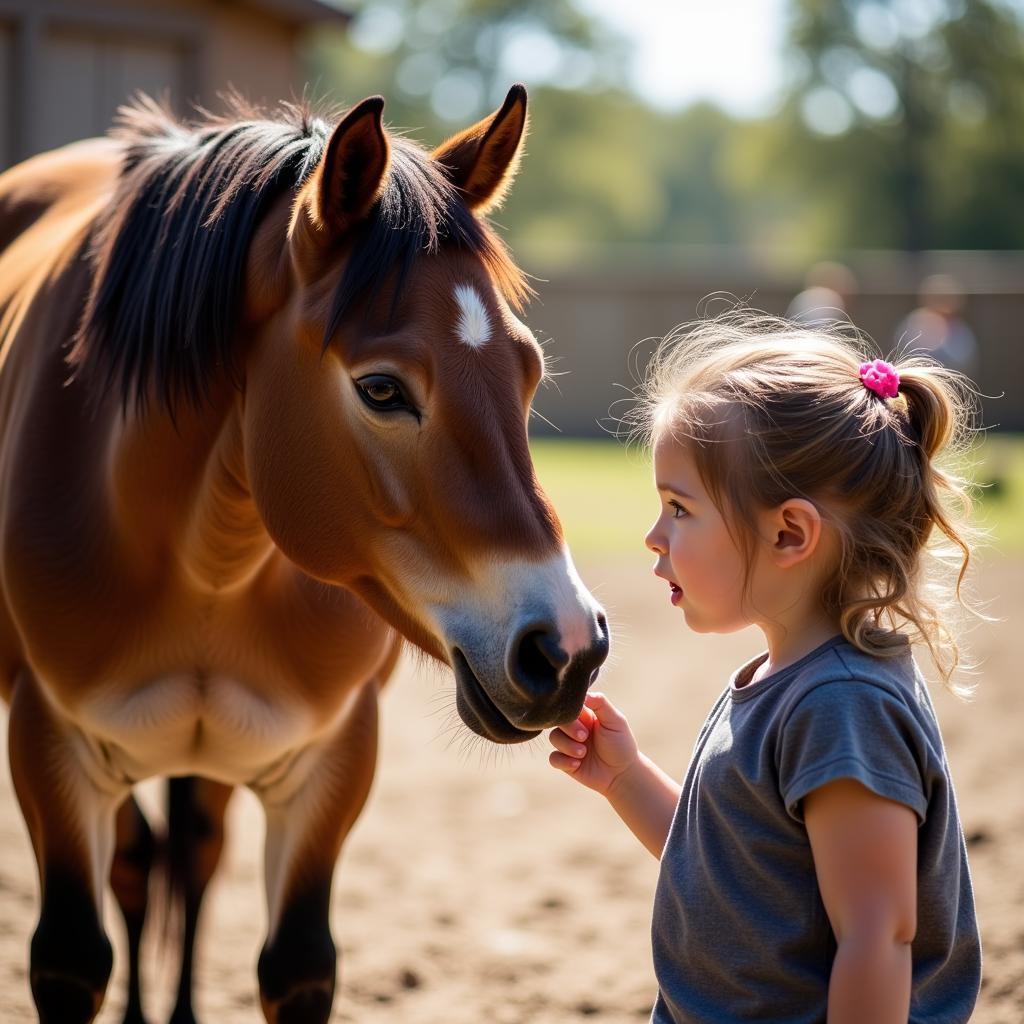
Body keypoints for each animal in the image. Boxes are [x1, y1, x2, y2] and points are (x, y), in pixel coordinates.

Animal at [0, 86, 606, 1024]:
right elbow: (73, 956)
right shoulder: (49, 741)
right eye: (381, 389)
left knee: (194, 854)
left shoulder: (333, 759)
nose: (567, 649)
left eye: (528, 369)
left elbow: (296, 964)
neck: (210, 563)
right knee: (142, 866)